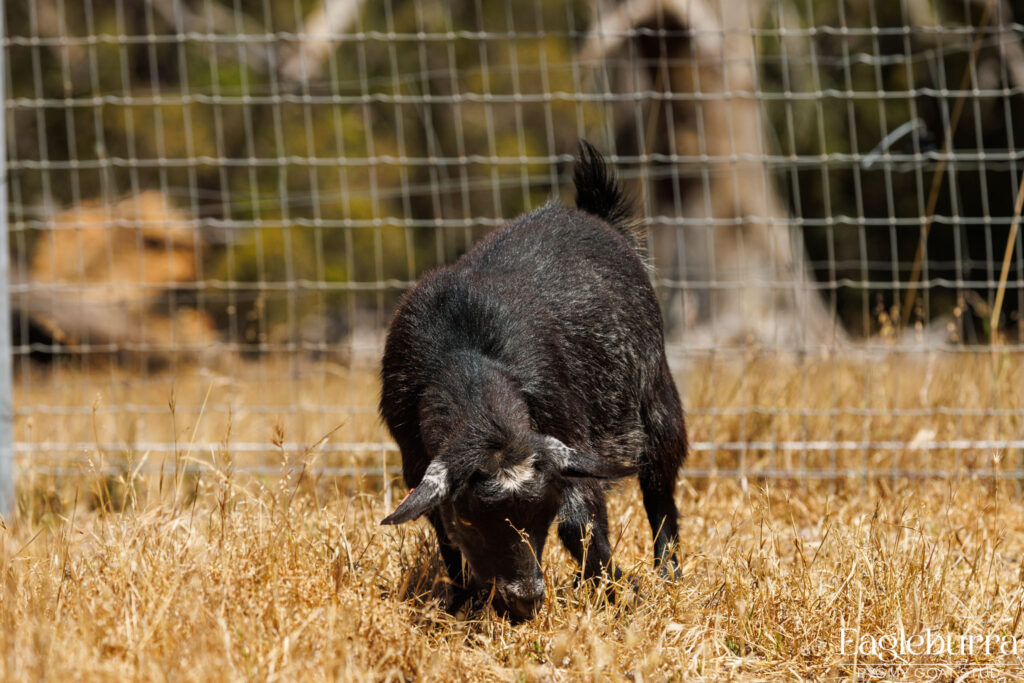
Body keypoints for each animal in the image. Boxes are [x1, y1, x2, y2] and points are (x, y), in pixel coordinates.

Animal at [378, 141, 688, 622]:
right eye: (470, 517)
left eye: (542, 511)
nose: (525, 599)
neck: (463, 347)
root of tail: (594, 215)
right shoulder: (415, 459)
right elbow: (444, 537)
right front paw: (463, 601)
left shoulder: (566, 430)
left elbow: (580, 523)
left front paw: (618, 590)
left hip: (655, 397)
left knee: (659, 486)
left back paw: (668, 572)